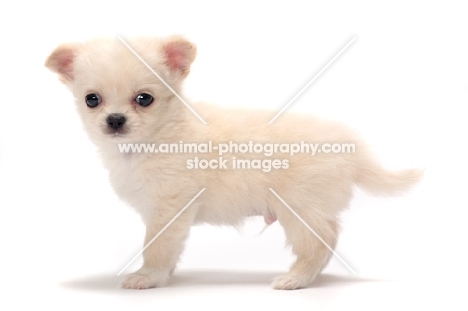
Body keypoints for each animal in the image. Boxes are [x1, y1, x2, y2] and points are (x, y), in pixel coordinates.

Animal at [45, 37, 422, 292]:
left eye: (144, 99)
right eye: (92, 100)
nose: (115, 120)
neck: (156, 137)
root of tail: (353, 150)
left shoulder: (169, 210)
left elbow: (156, 246)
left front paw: (148, 277)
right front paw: (164, 275)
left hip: (299, 208)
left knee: (321, 241)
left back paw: (296, 279)